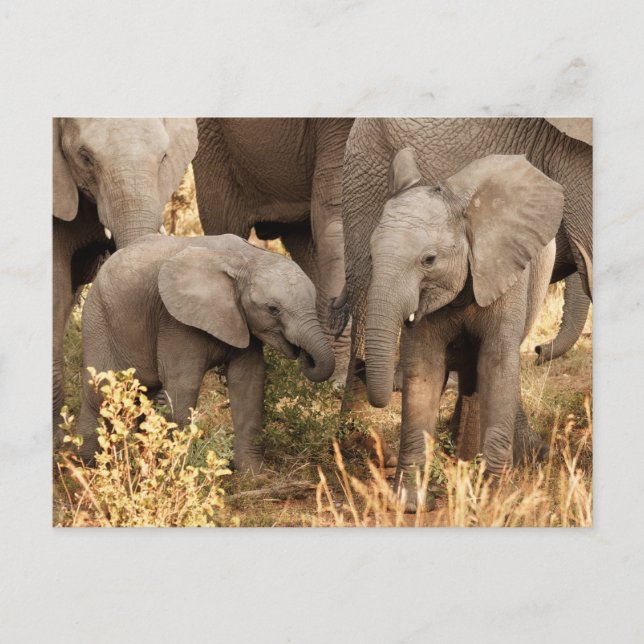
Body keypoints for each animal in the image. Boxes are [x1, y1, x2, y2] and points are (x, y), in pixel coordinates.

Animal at [74, 234, 335, 471]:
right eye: (273, 309)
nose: (303, 353)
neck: (246, 259)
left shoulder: (242, 321)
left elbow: (248, 382)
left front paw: (254, 475)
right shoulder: (175, 320)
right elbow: (184, 384)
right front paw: (177, 470)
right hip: (98, 320)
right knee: (101, 393)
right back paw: (90, 466)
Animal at [360, 149, 563, 510]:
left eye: (429, 260)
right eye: (371, 256)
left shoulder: (504, 270)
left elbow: (497, 364)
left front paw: (494, 500)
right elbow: (423, 370)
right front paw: (409, 503)